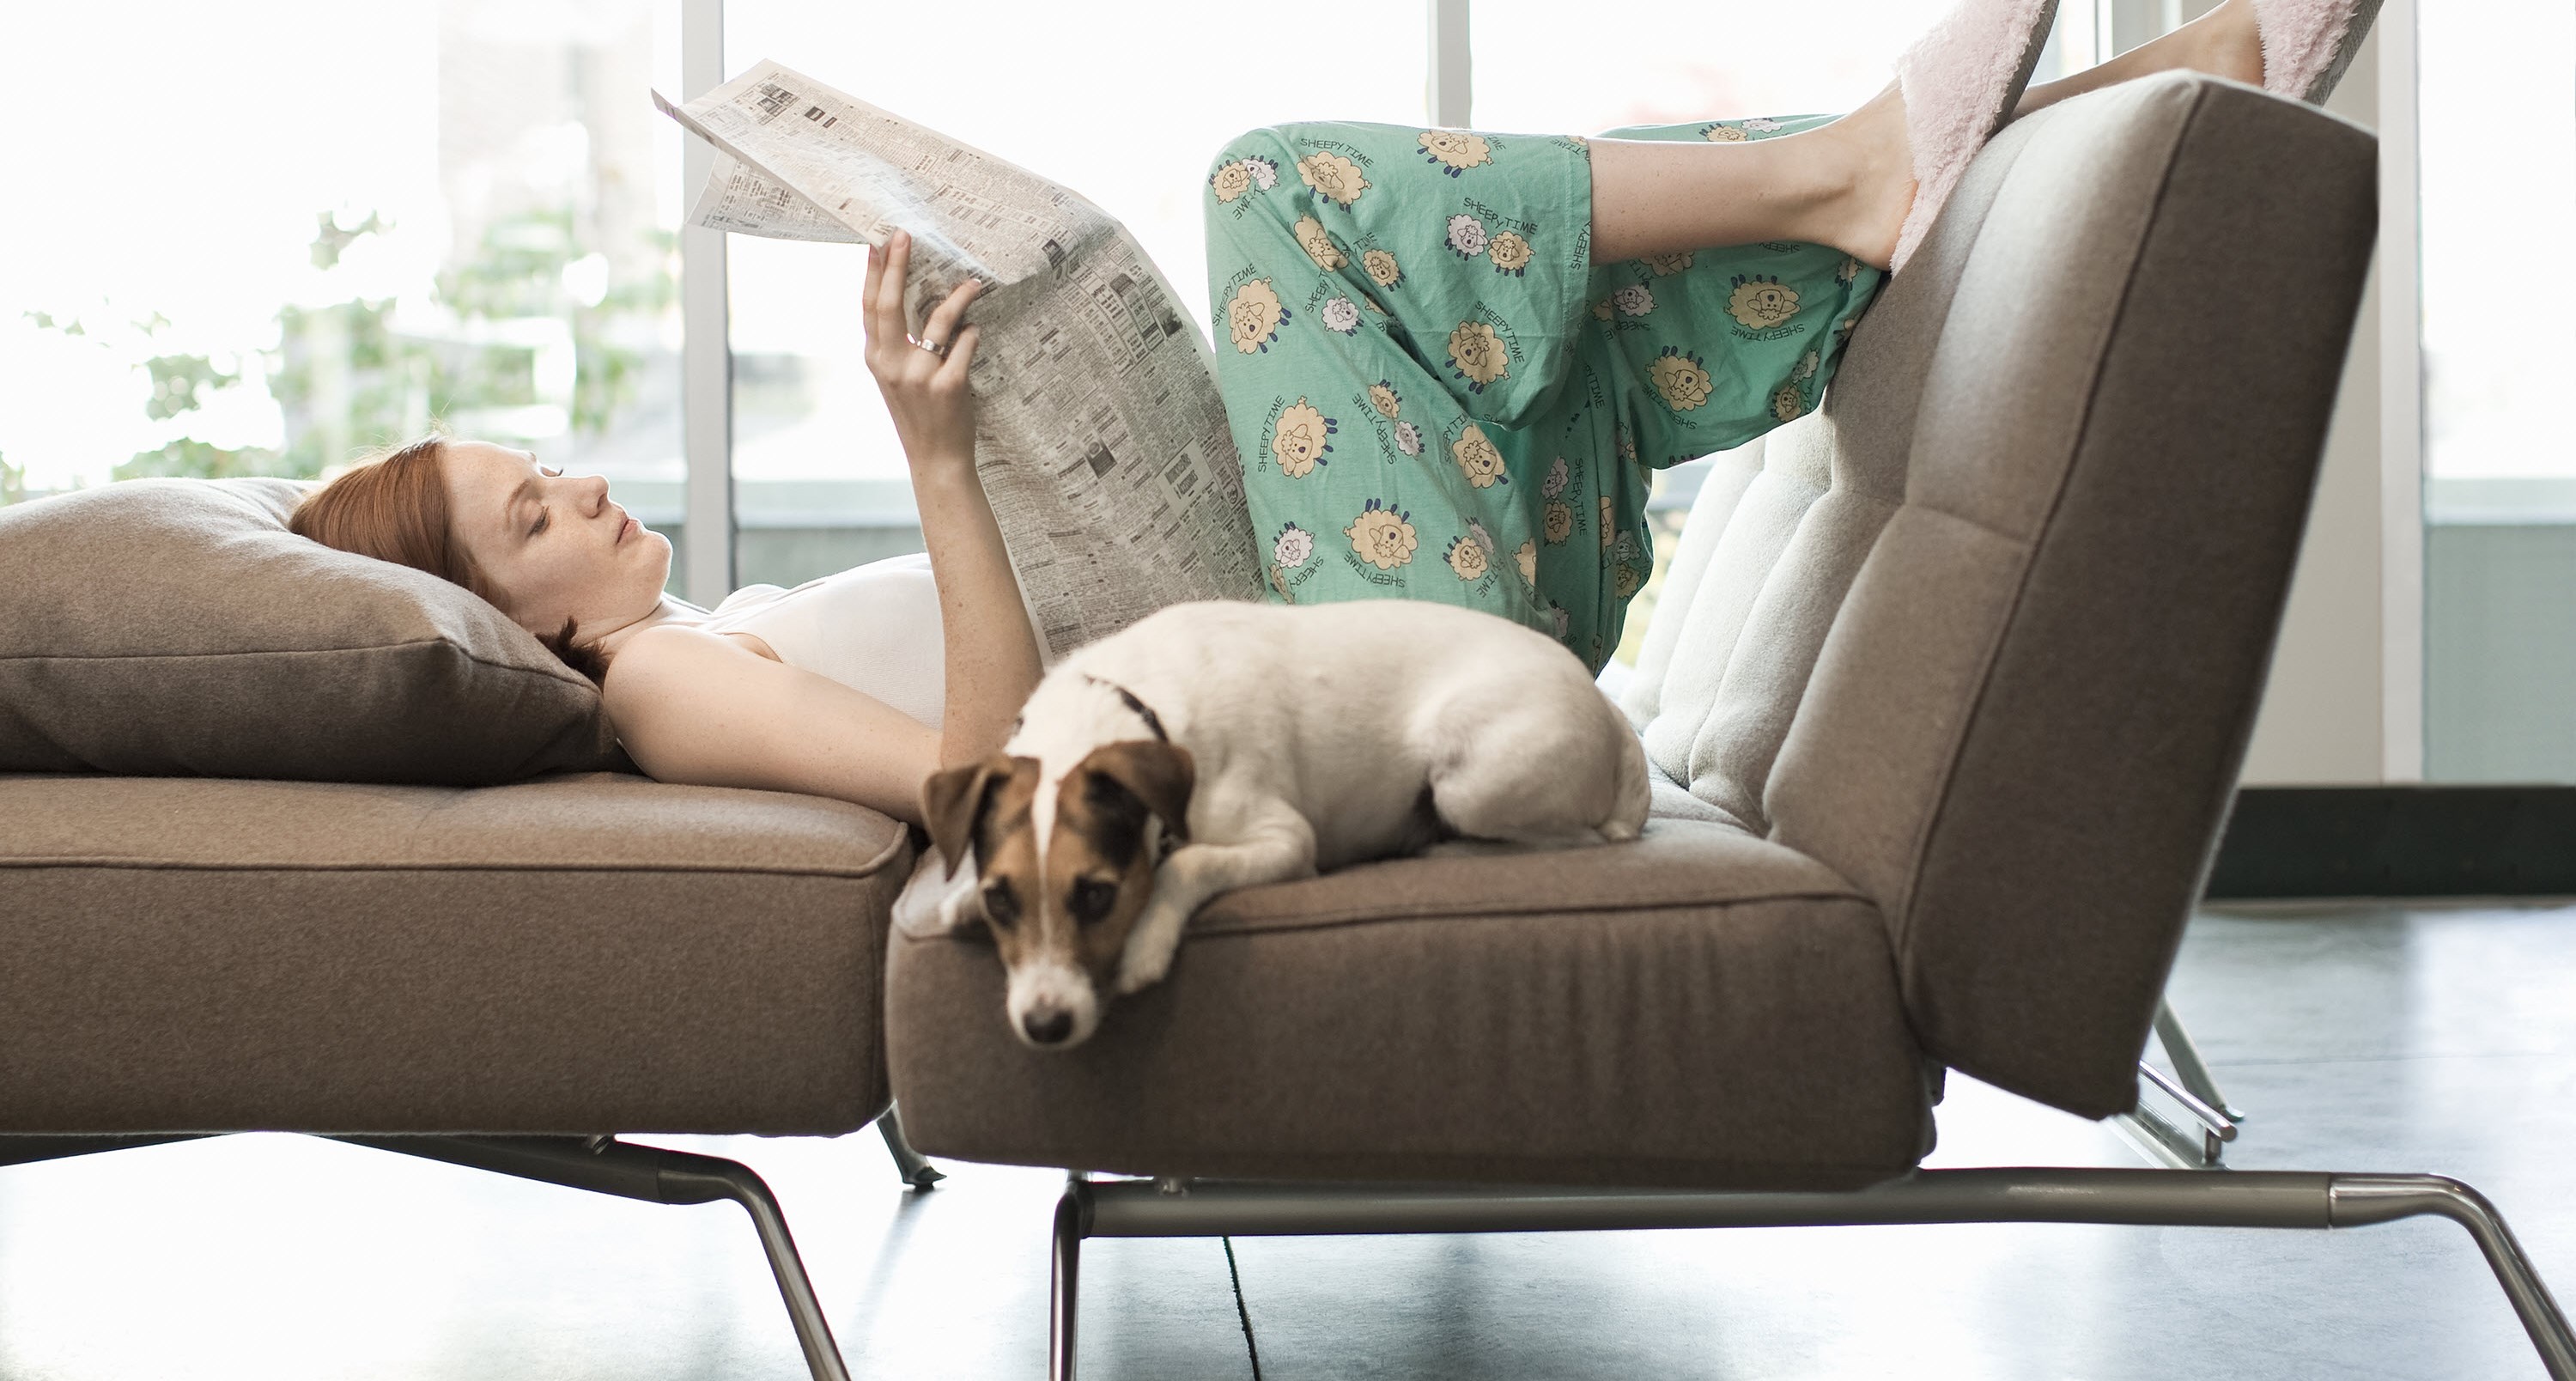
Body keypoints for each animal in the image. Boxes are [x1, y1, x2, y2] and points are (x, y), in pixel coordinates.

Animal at [927, 598, 1649, 1051]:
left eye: (1099, 896)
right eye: (1001, 901)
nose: (1044, 1026)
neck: (1135, 710)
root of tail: (1614, 718)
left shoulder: (1284, 839)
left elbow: (1187, 861)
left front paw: (1147, 942)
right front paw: (958, 899)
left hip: (1469, 778)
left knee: (1572, 840)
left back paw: (1440, 849)